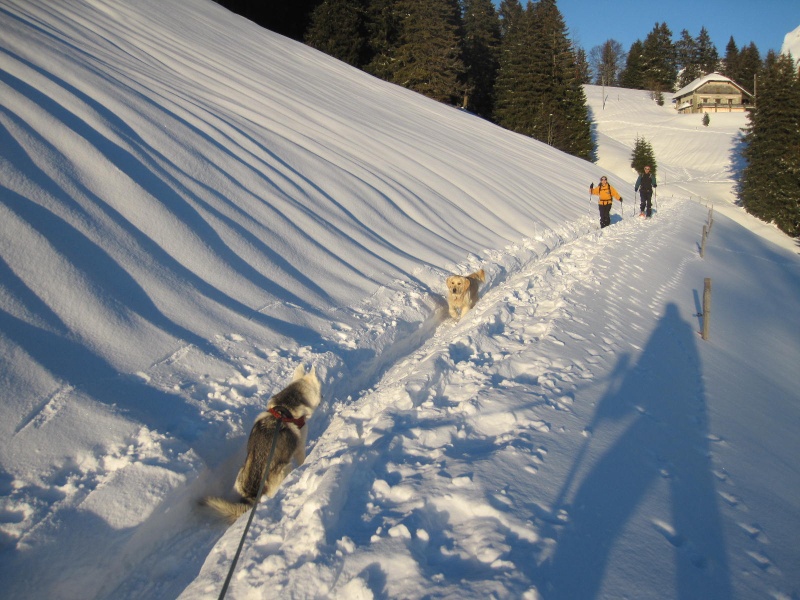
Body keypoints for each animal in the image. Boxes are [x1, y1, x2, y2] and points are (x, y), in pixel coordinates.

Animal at [203, 364, 322, 524]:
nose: (322, 398)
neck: (284, 408)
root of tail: (253, 495)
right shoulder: (299, 447)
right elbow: (302, 459)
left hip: (241, 472)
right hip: (285, 468)